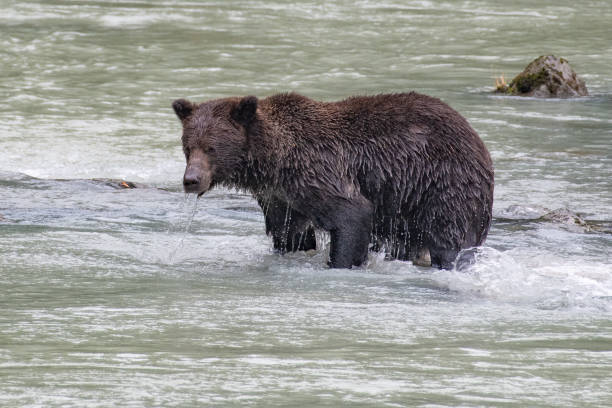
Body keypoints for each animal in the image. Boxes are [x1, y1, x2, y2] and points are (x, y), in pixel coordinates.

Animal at [171, 93, 492, 270]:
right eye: (188, 146)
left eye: (211, 147)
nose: (191, 180)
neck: (273, 162)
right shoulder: (279, 197)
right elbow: (291, 234)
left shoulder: (318, 171)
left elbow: (350, 214)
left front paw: (338, 263)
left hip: (442, 184)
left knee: (450, 239)